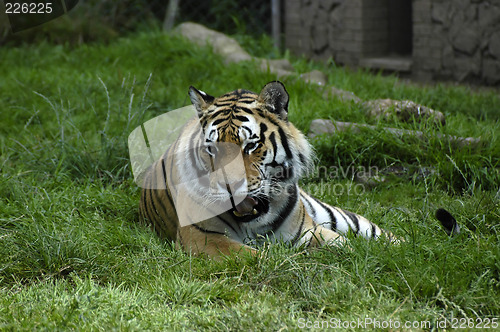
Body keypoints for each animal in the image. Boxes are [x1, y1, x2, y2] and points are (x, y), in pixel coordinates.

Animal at [137, 81, 458, 258]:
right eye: (211, 149)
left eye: (250, 145)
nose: (228, 188)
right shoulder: (201, 237)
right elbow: (252, 257)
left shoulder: (307, 231)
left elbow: (345, 246)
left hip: (340, 217)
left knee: (384, 235)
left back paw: (419, 250)